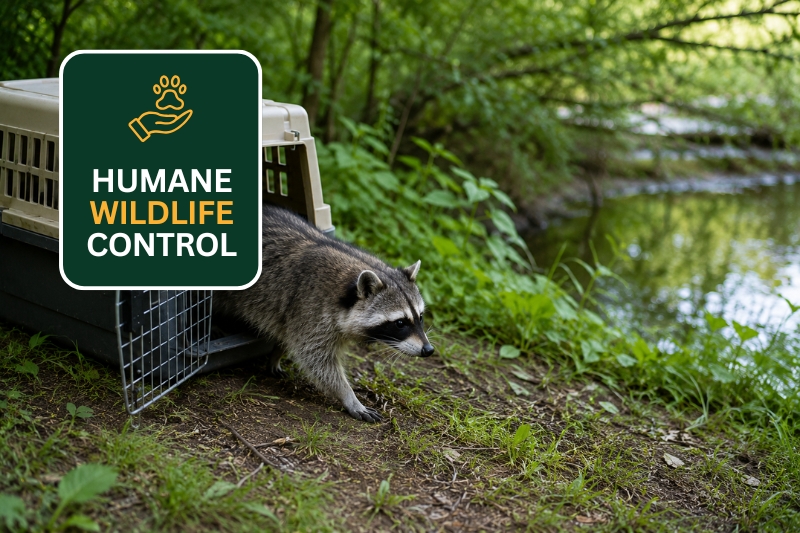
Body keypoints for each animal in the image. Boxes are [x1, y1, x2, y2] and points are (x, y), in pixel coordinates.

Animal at [214, 205, 434, 422]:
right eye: (400, 323)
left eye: (420, 317)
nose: (429, 350)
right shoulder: (310, 308)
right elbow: (315, 357)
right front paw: (348, 395)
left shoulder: (297, 314)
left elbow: (289, 333)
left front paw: (277, 351)